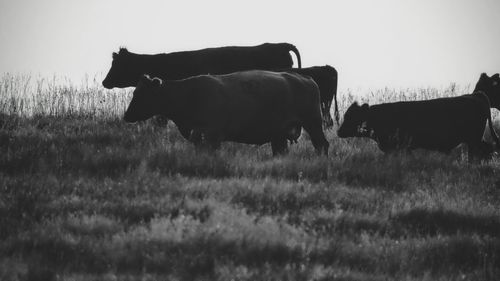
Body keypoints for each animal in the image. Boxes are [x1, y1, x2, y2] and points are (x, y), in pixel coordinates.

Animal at [123, 70, 330, 155]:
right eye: (135, 92)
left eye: (141, 94)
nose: (126, 115)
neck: (190, 93)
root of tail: (305, 78)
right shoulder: (198, 136)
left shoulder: (213, 135)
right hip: (279, 135)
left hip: (313, 124)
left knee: (322, 145)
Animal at [336, 77, 500, 159]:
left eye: (351, 117)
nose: (338, 132)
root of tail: (475, 95)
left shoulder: (396, 147)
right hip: (474, 139)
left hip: (473, 139)